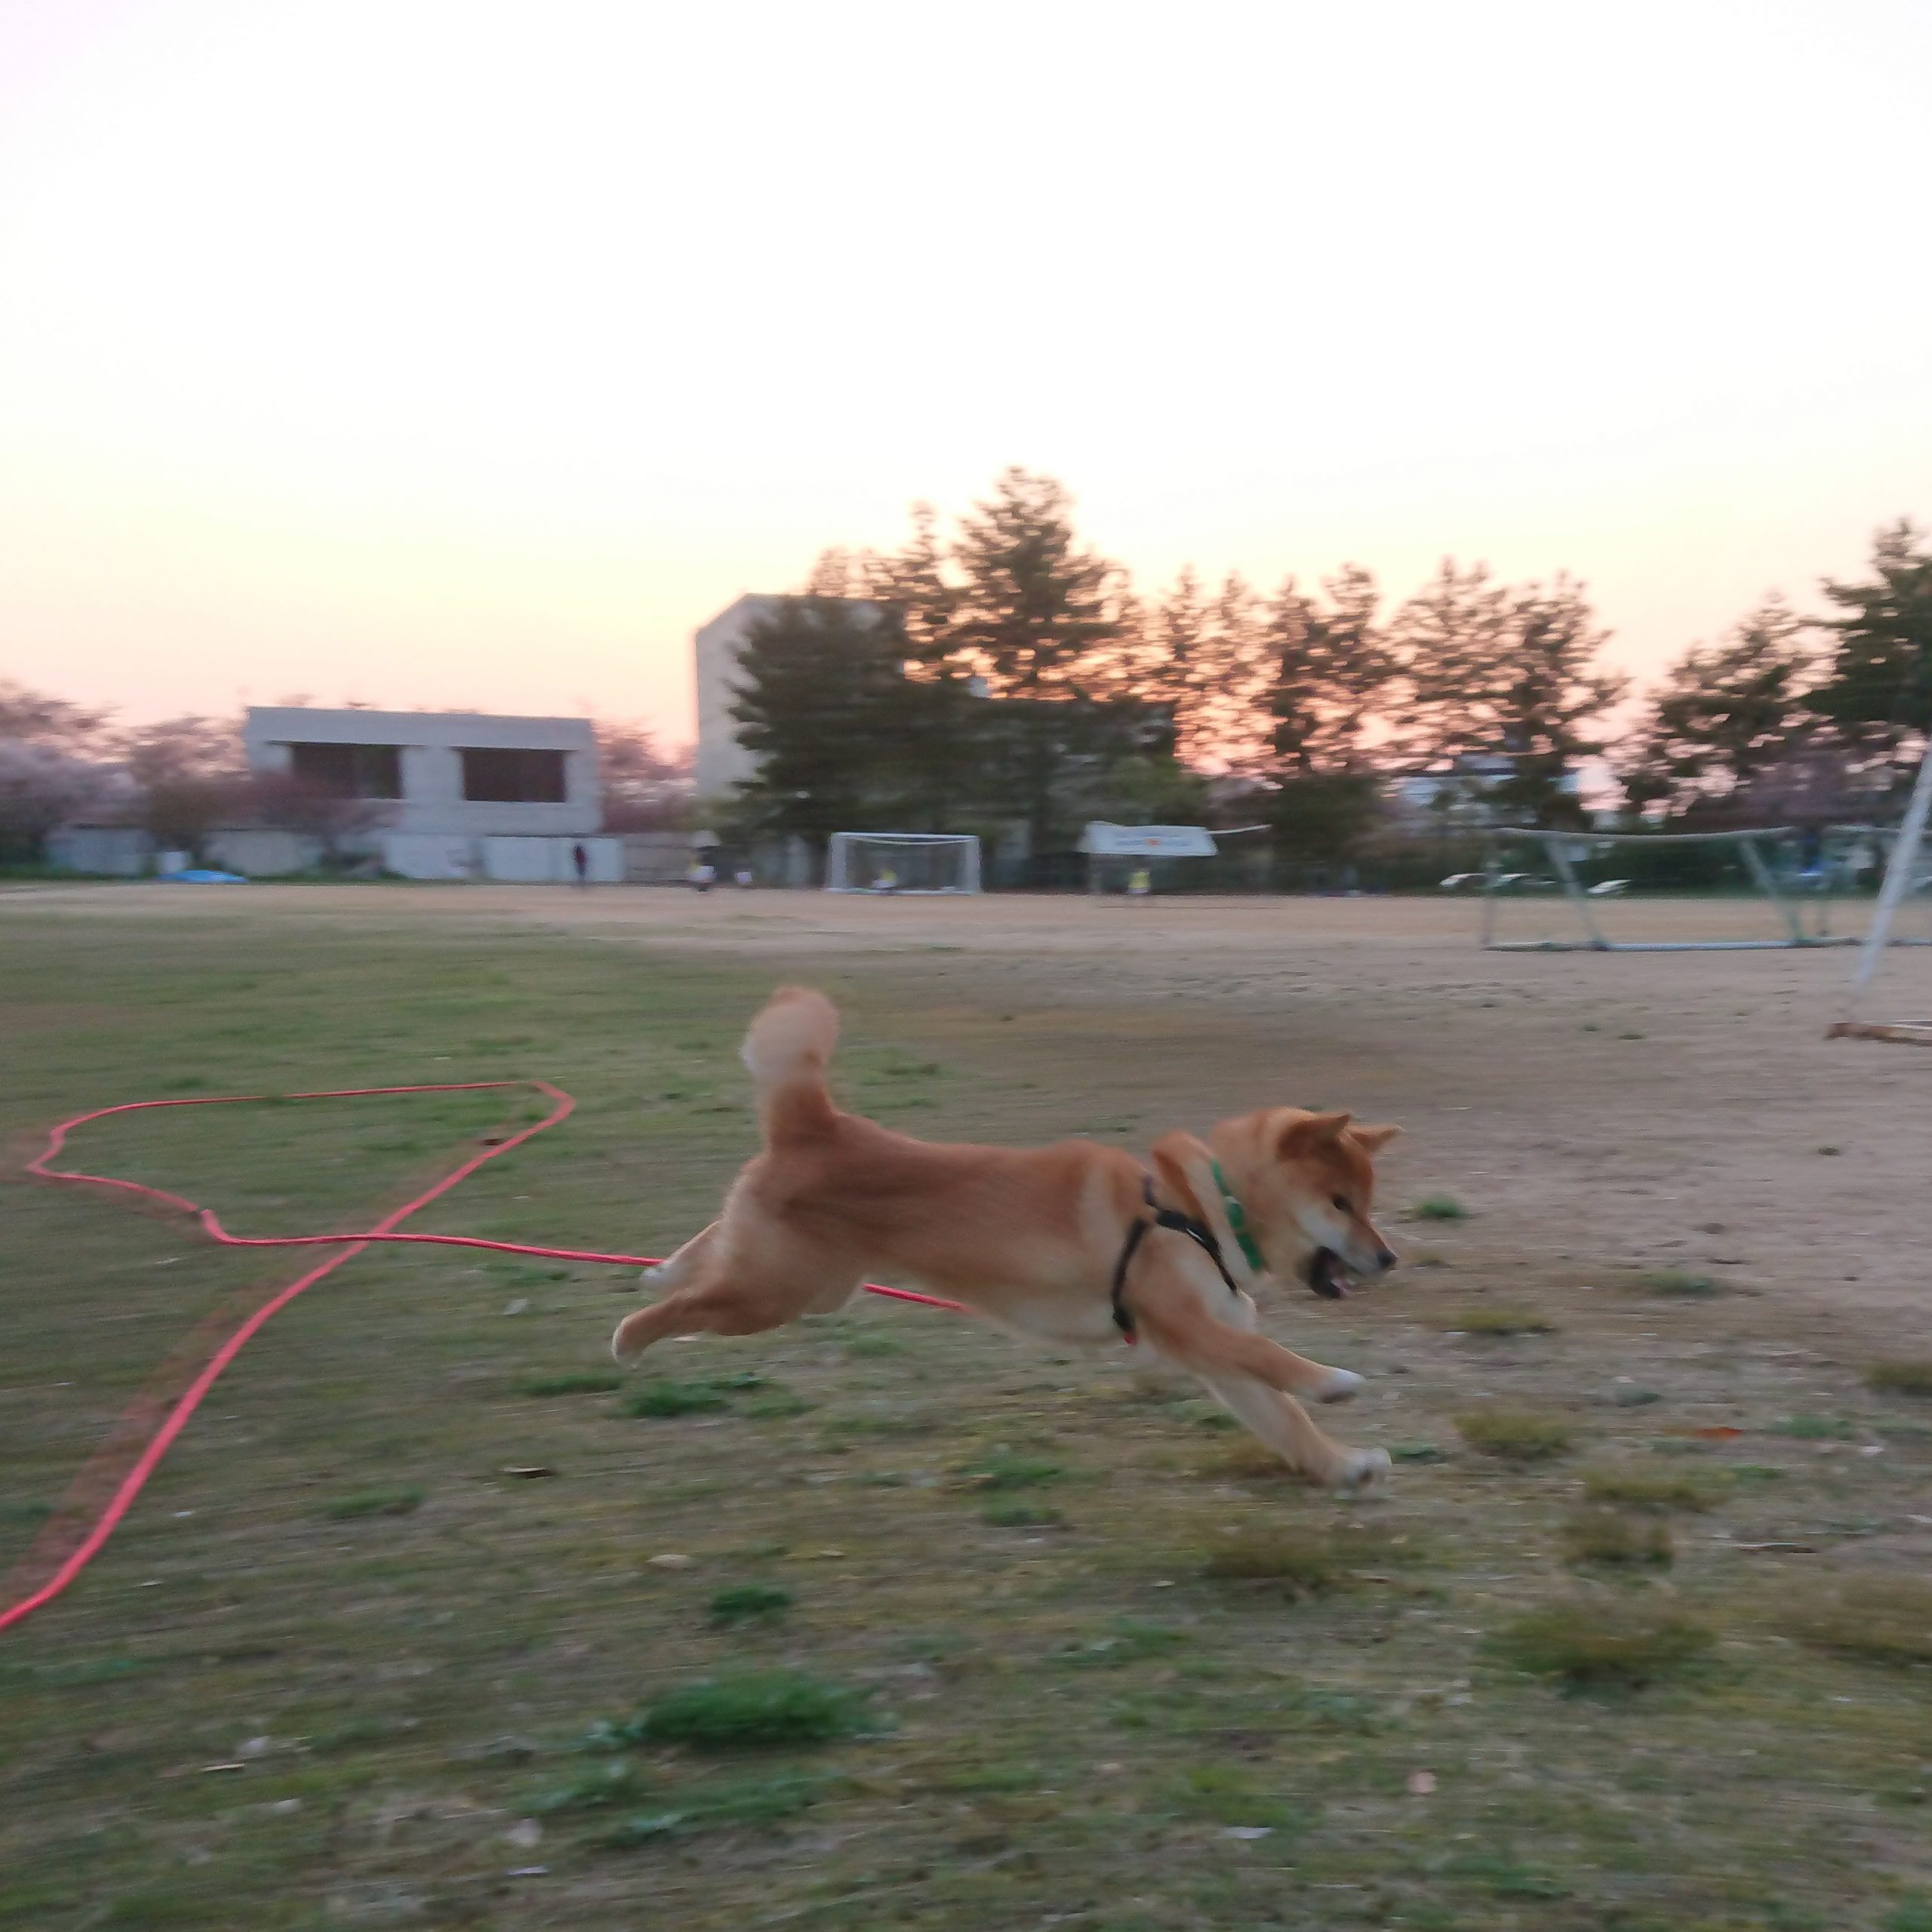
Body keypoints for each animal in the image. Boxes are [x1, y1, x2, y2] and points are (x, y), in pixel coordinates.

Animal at [610, 989, 1398, 1484]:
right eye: (1340, 1204)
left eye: (1369, 1202)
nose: (1388, 1258)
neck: (1202, 1209)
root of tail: (819, 1124)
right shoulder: (1187, 1329)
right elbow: (1274, 1359)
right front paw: (1334, 1382)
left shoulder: (1211, 1350)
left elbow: (1284, 1420)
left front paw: (1343, 1466)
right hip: (778, 1294)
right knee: (682, 1309)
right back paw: (630, 1338)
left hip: (798, 1283)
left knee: (711, 1248)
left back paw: (663, 1269)